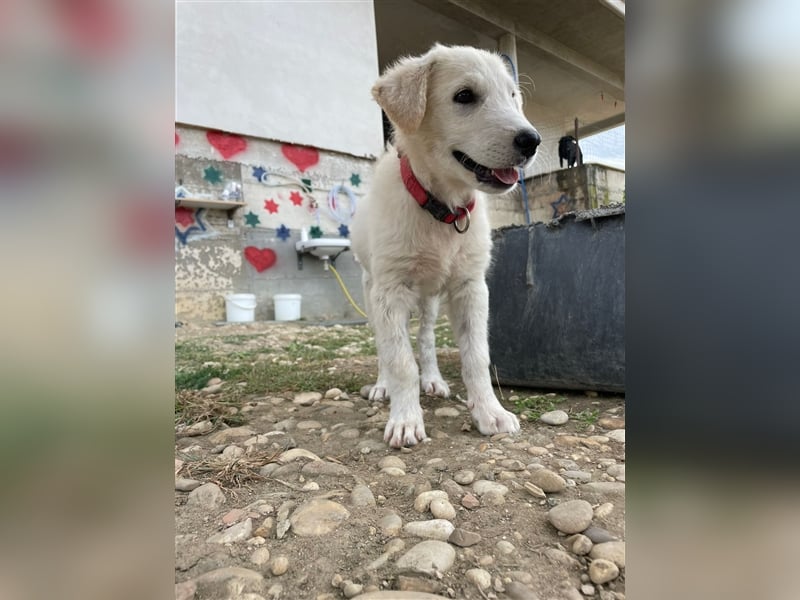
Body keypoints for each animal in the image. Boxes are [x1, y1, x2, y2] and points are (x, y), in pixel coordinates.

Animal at [352, 45, 544, 446]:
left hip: (430, 299)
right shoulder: (390, 289)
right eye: (465, 96)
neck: (443, 208)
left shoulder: (471, 287)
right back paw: (382, 386)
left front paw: (490, 412)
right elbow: (399, 360)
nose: (531, 141)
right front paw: (405, 419)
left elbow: (476, 356)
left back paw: (433, 380)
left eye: (512, 96)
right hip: (370, 289)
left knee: (425, 339)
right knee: (383, 345)